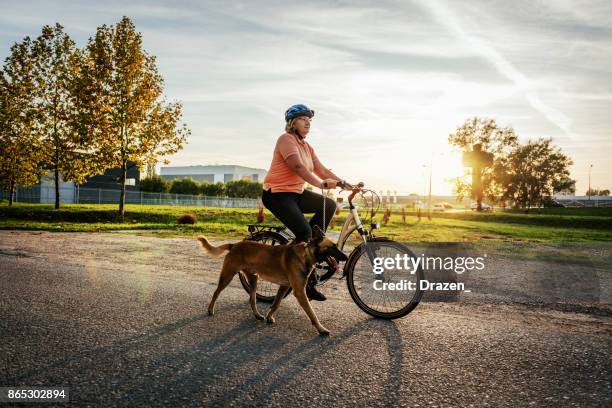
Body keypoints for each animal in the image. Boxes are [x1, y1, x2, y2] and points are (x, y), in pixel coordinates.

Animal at [198, 228, 346, 336]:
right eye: (333, 247)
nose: (346, 257)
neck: (306, 254)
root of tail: (234, 245)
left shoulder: (284, 286)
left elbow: (276, 303)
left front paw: (269, 317)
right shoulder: (300, 292)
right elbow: (312, 313)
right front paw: (321, 329)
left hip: (253, 279)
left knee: (252, 299)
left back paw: (258, 315)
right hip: (227, 276)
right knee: (216, 292)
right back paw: (210, 309)